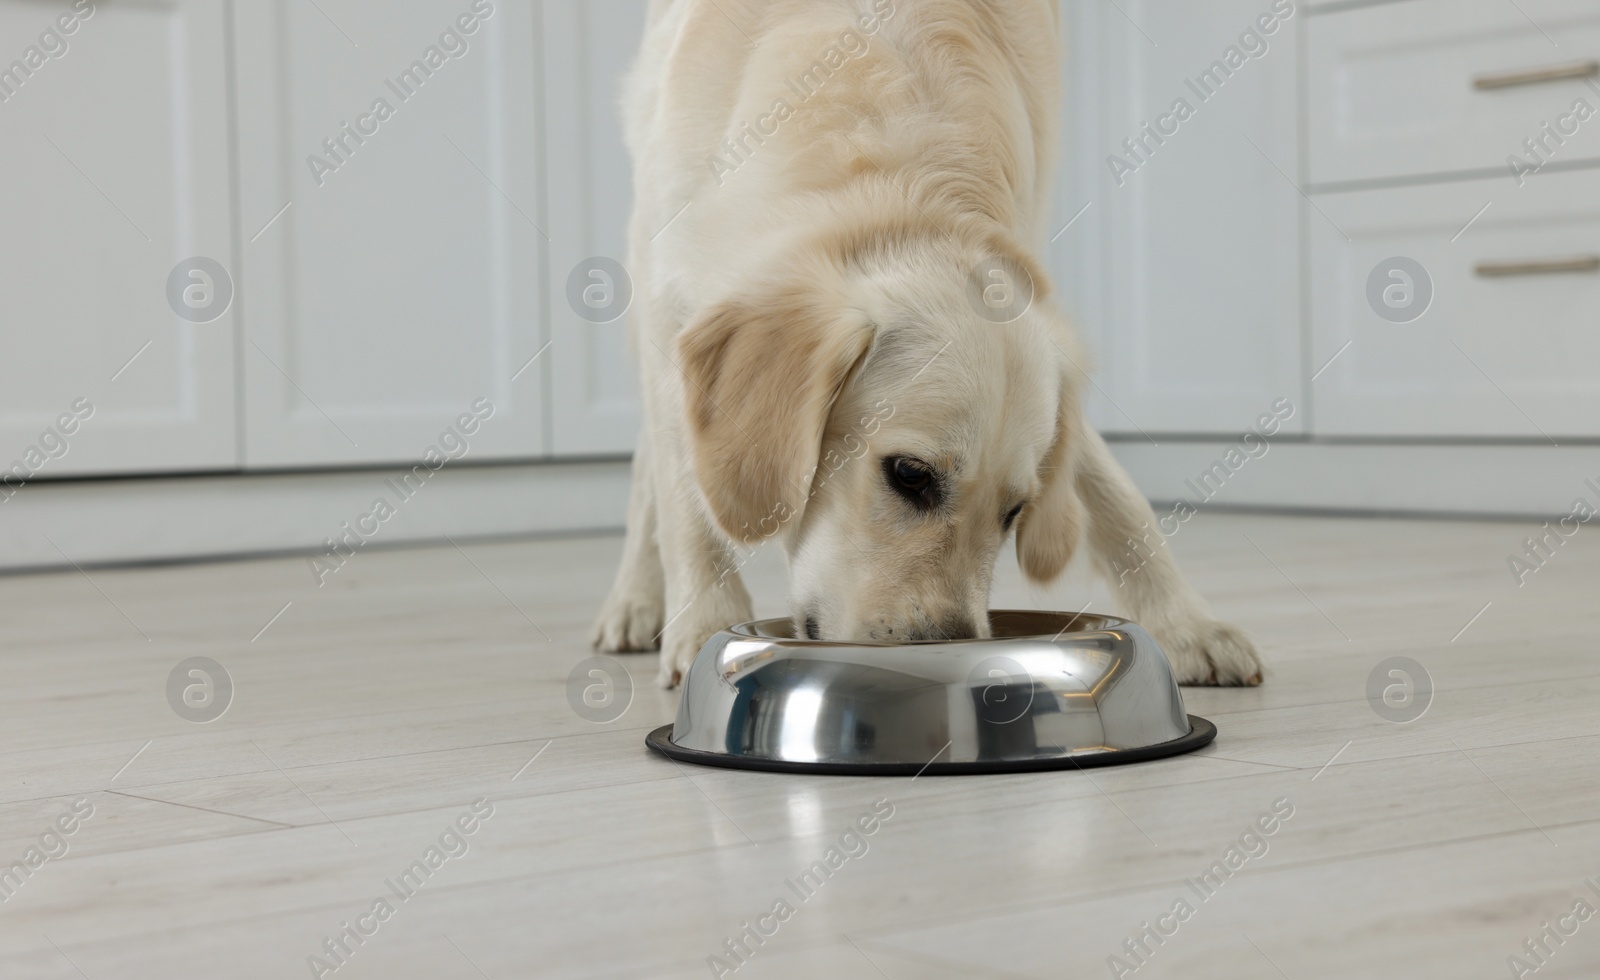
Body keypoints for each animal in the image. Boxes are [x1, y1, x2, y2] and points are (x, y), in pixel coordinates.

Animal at [595, 0, 1267, 688]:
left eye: (1015, 511)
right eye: (910, 475)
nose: (947, 654)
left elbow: (1110, 483)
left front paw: (1187, 624)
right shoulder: (669, 291)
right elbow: (685, 496)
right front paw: (706, 625)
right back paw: (635, 599)